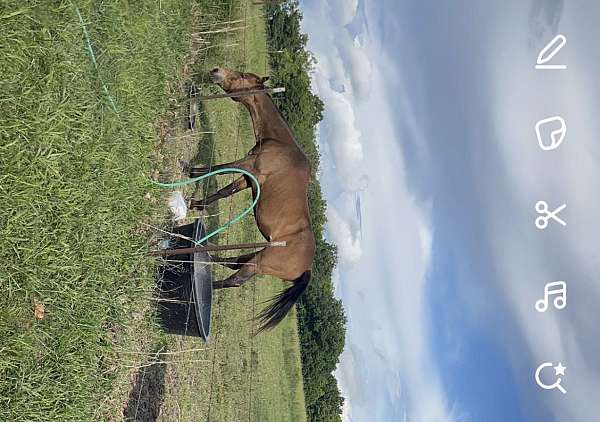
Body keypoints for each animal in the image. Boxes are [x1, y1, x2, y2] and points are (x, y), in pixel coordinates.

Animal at [190, 67, 316, 332]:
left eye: (241, 77)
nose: (217, 71)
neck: (279, 145)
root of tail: (307, 267)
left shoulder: (249, 167)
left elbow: (220, 169)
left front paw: (190, 171)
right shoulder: (249, 179)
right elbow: (224, 191)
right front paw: (196, 203)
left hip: (260, 264)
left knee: (234, 279)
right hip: (258, 253)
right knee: (234, 261)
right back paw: (208, 257)